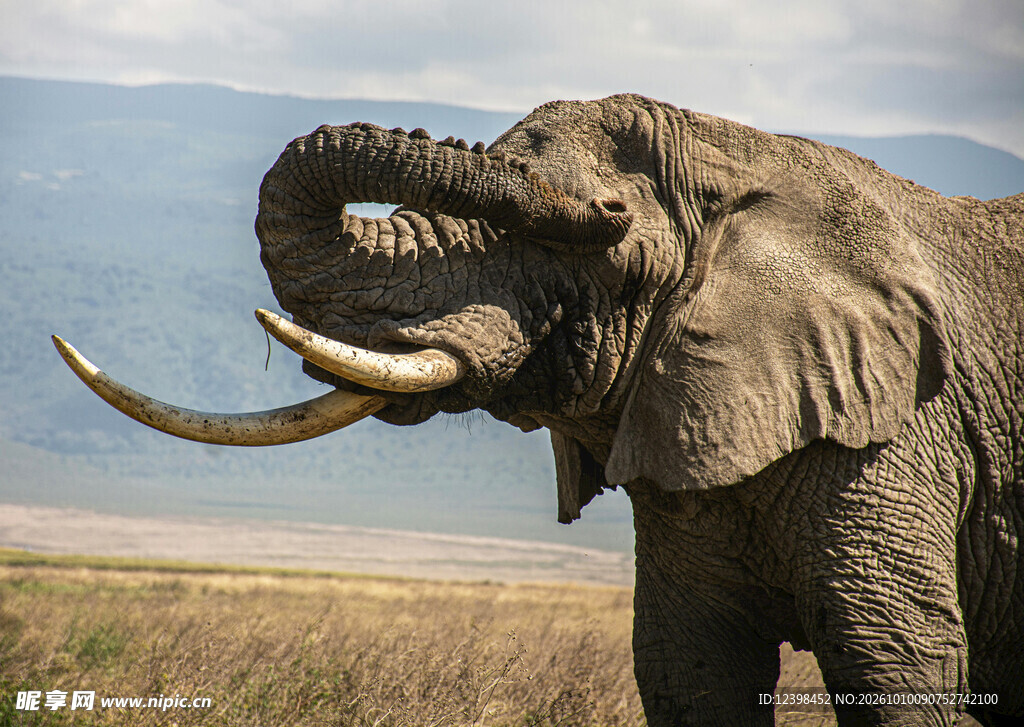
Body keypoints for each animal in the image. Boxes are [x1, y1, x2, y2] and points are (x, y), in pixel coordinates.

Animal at [54, 94, 1023, 726]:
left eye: (609, 238)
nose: (603, 205)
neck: (746, 151)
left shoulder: (899, 434)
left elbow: (892, 661)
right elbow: (687, 669)